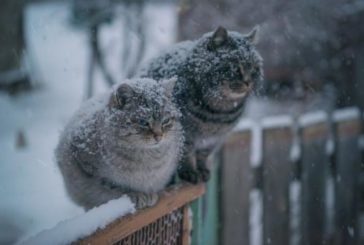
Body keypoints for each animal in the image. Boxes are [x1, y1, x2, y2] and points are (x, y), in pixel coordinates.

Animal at [55, 77, 183, 210]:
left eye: (166, 121)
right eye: (143, 122)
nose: (159, 136)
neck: (146, 157)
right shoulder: (88, 166)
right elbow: (114, 186)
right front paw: (137, 194)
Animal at [138, 27, 264, 184]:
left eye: (254, 69)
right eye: (235, 68)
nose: (248, 82)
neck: (219, 113)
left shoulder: (213, 140)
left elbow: (203, 156)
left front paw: (202, 170)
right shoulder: (185, 135)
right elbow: (186, 155)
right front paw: (190, 172)